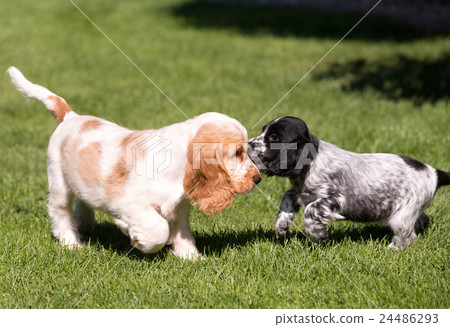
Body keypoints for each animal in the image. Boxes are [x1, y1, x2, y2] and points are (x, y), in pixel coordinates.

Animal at [6, 67, 260, 262]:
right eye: (238, 153)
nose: (257, 179)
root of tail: (71, 117)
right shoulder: (130, 203)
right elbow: (158, 229)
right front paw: (137, 238)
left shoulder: (179, 207)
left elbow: (183, 232)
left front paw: (191, 258)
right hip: (58, 181)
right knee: (60, 212)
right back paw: (71, 242)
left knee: (83, 202)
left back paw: (85, 225)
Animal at [248, 117, 448, 249]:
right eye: (263, 131)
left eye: (274, 137)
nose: (248, 143)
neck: (312, 163)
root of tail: (434, 172)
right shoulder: (300, 192)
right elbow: (287, 197)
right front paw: (281, 225)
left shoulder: (337, 198)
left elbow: (311, 210)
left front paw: (318, 236)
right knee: (422, 220)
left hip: (402, 216)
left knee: (407, 235)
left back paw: (392, 249)